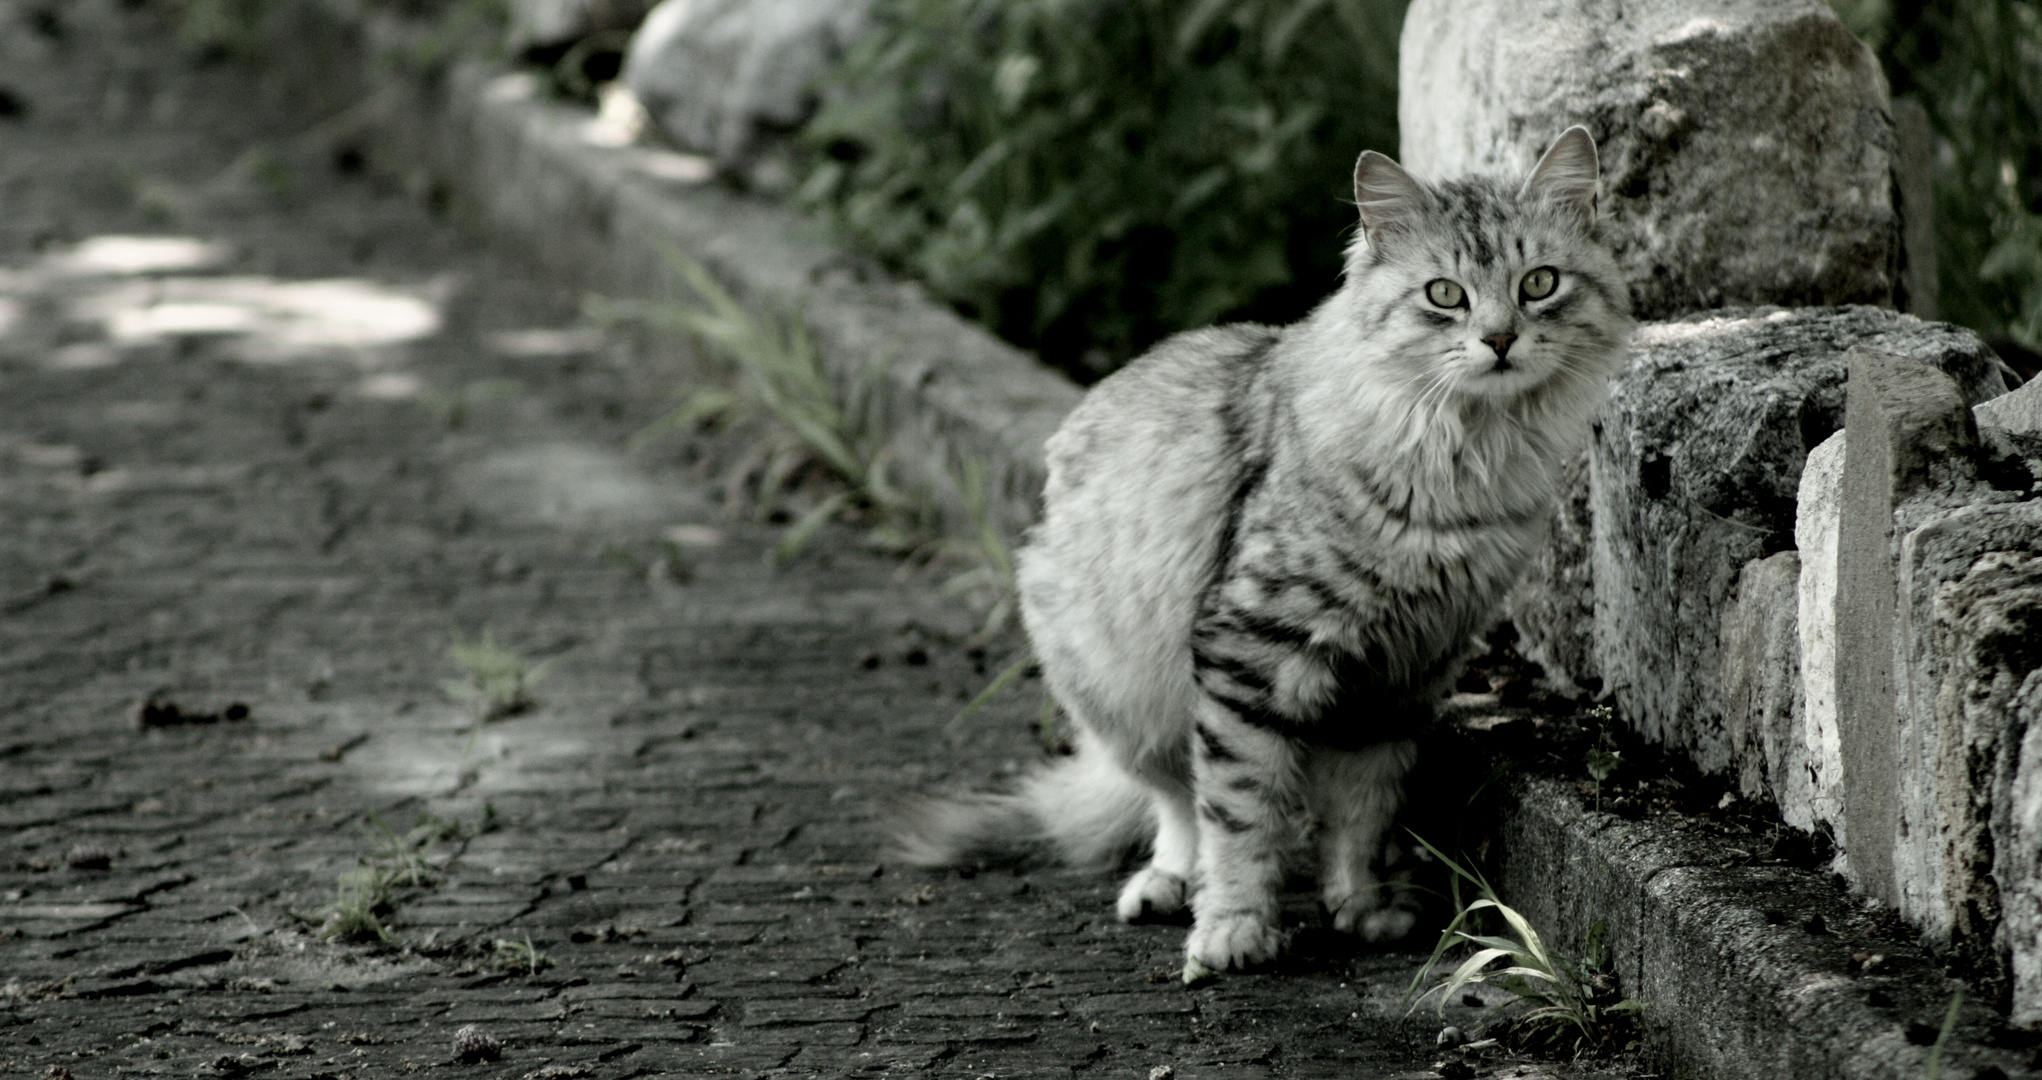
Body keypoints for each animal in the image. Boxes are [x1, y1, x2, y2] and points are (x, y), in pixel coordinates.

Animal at [902, 126, 1633, 967]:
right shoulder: (1251, 651)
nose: (1501, 339)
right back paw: (1169, 887)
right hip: (1124, 696)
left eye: (1539, 283)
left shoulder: (1401, 674)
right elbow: (1241, 813)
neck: (1467, 461)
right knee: (1177, 802)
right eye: (1444, 295)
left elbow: (1361, 809)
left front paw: (1362, 906)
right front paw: (1235, 928)